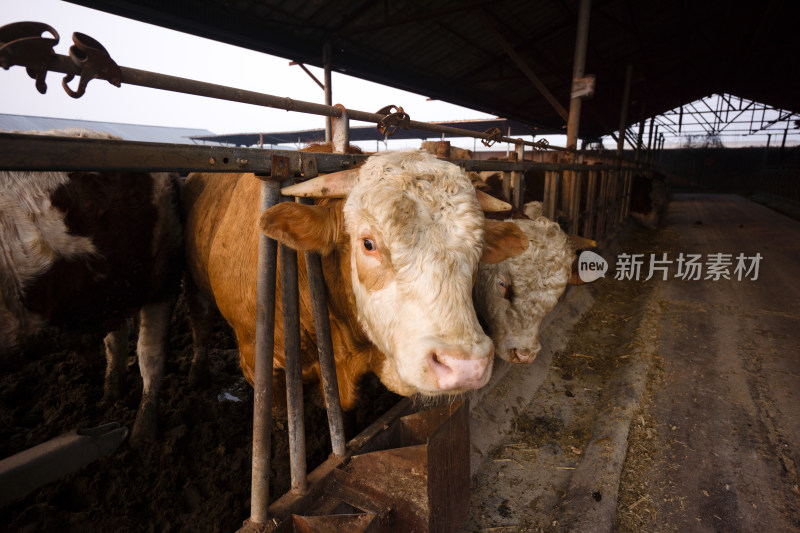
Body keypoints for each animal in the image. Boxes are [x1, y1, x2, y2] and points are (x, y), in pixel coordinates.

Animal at [0, 127, 183, 442]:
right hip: (115, 289)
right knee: (116, 338)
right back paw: (110, 396)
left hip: (162, 275)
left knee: (150, 353)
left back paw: (143, 438)